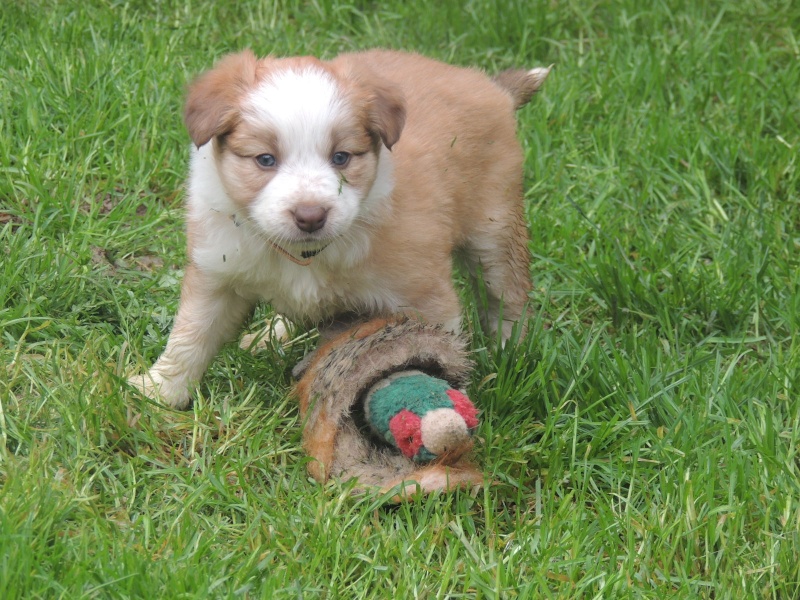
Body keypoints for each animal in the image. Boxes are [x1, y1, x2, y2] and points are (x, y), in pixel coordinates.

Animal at [131, 51, 552, 408]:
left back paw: (510, 357)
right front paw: (158, 392)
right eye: (265, 159)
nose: (310, 216)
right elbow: (191, 336)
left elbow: (443, 356)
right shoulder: (217, 272)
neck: (304, 256)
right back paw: (271, 335)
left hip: (495, 227)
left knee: (507, 298)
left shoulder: (426, 297)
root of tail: (487, 84)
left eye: (341, 157)